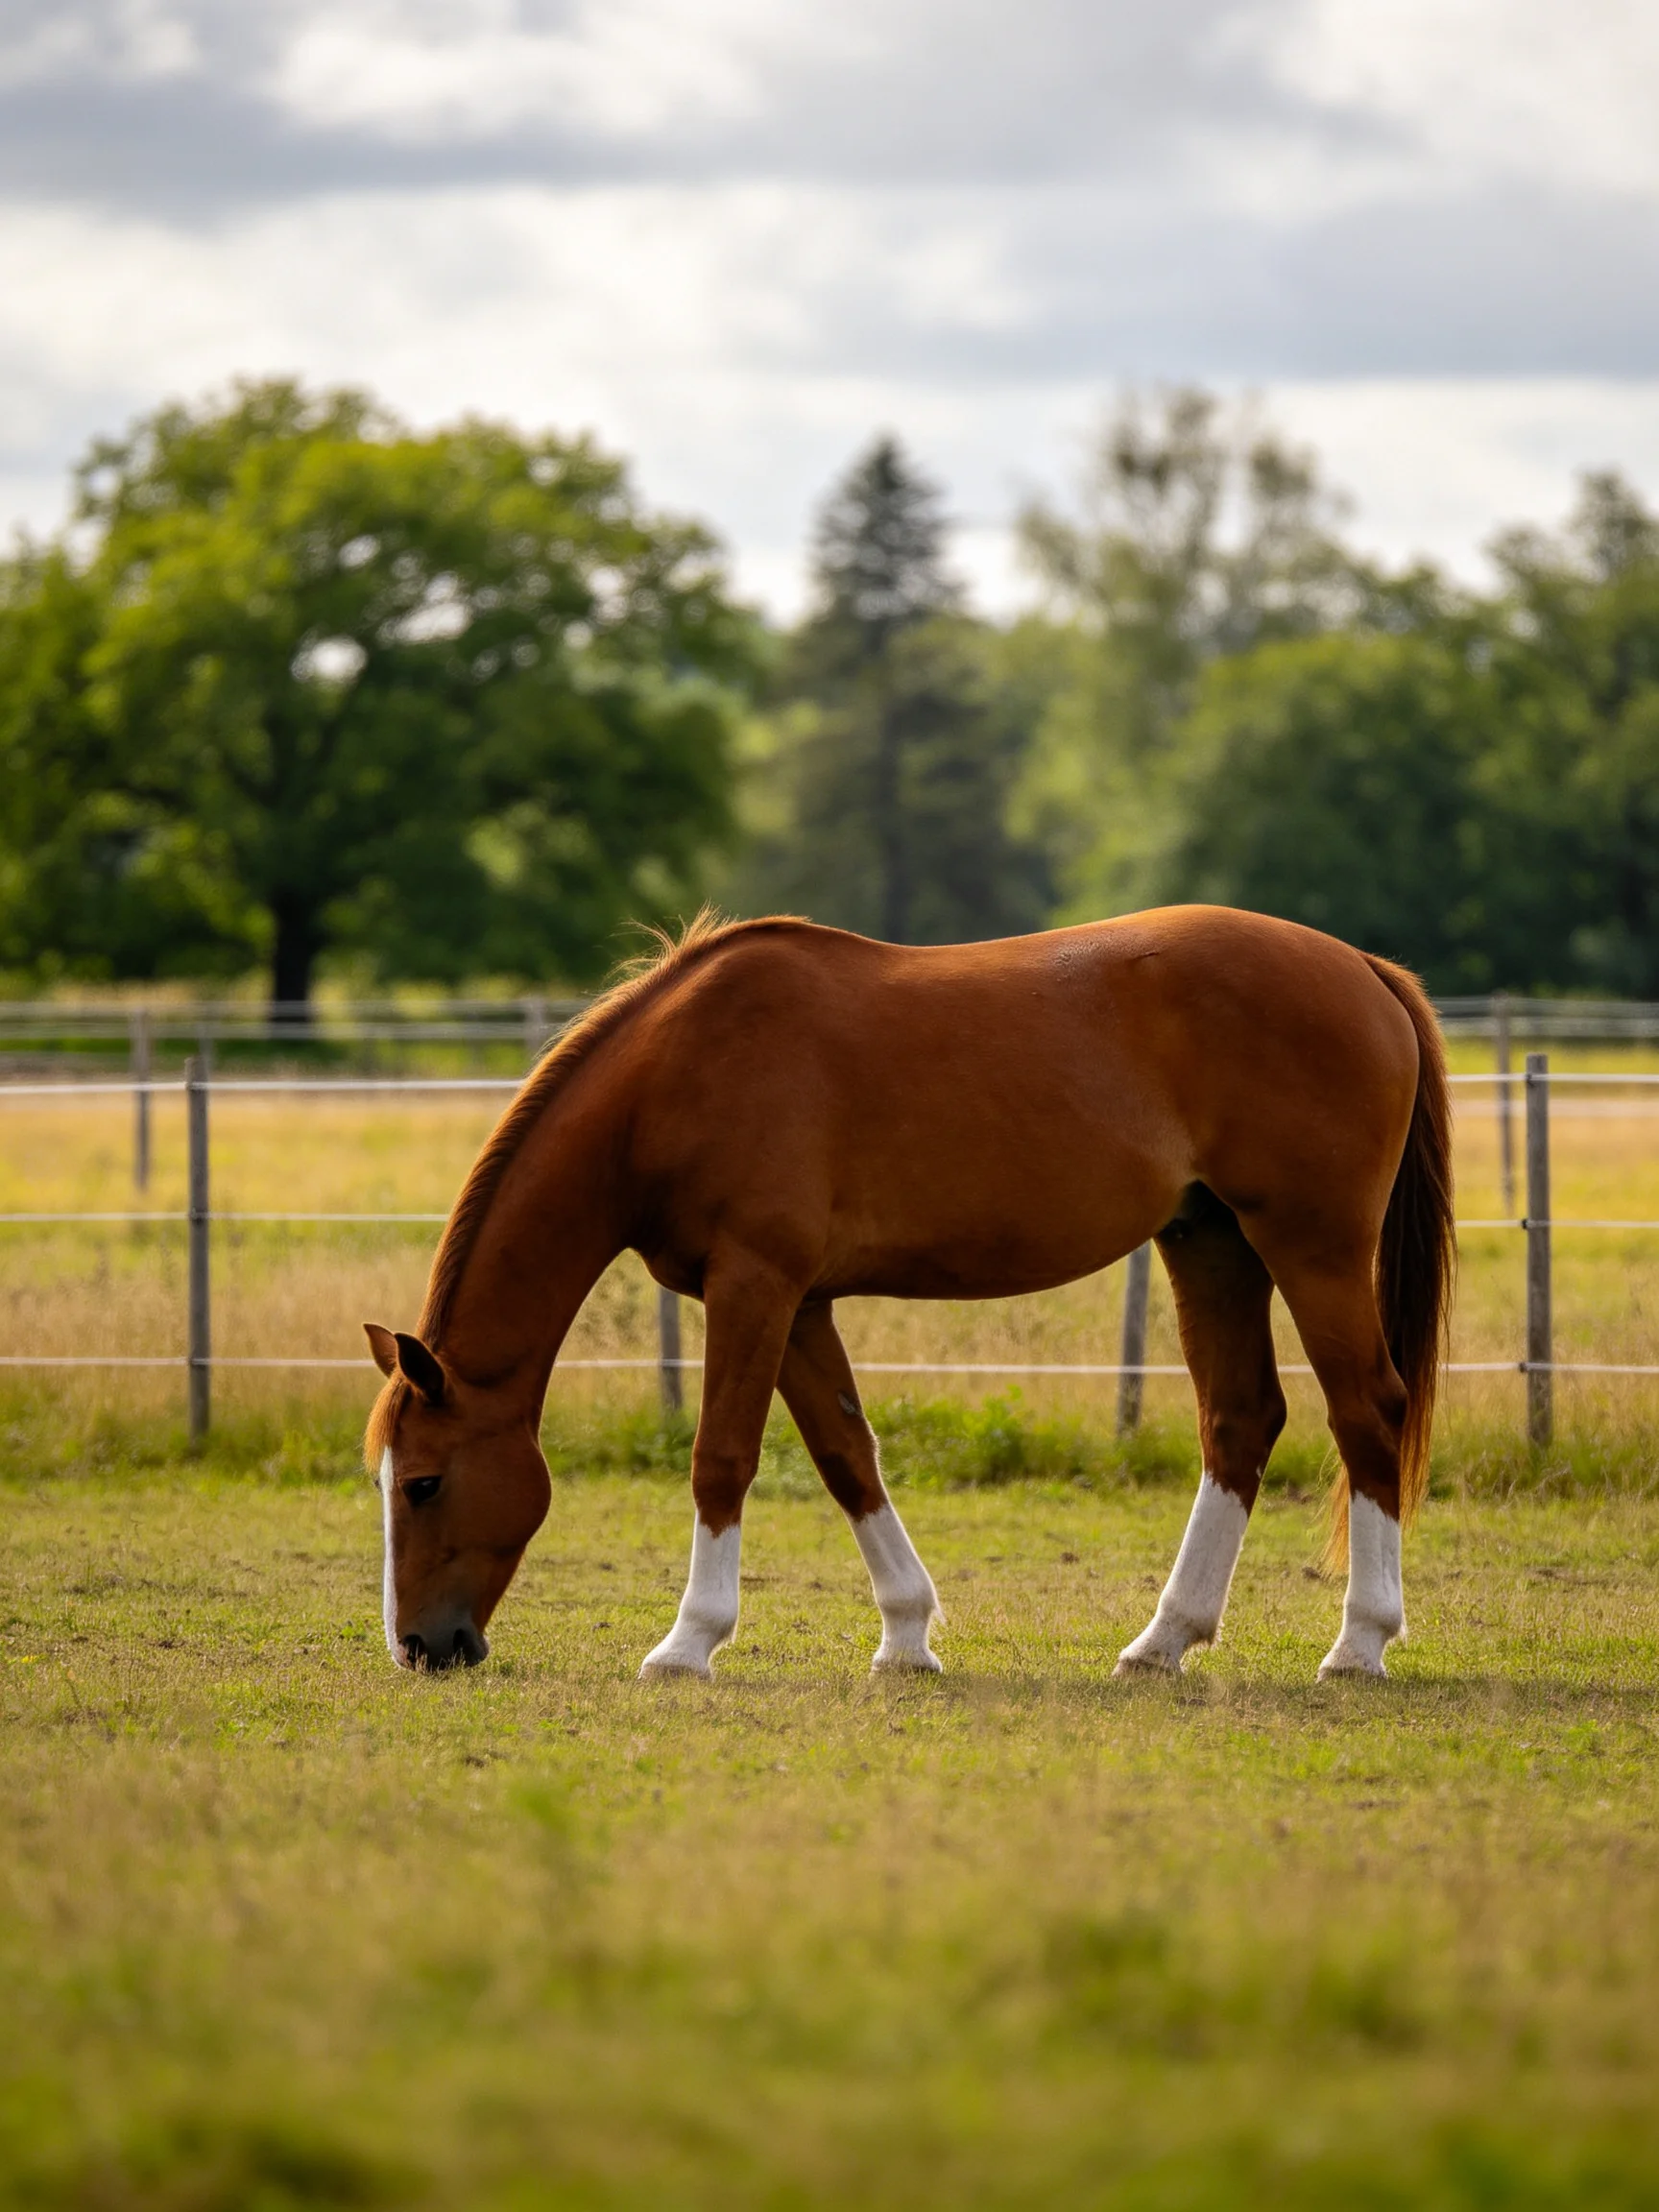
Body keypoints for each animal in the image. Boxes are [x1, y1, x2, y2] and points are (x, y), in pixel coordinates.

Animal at [365, 905, 1453, 1683]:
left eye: (423, 1482)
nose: (421, 1647)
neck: (675, 1076)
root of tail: (1363, 969)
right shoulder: (800, 1303)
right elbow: (847, 1456)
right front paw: (906, 1636)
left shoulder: (753, 1284)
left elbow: (722, 1459)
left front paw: (688, 1643)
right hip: (1211, 1243)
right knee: (1240, 1419)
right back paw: (1163, 1641)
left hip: (1312, 1248)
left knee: (1367, 1411)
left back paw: (1359, 1645)